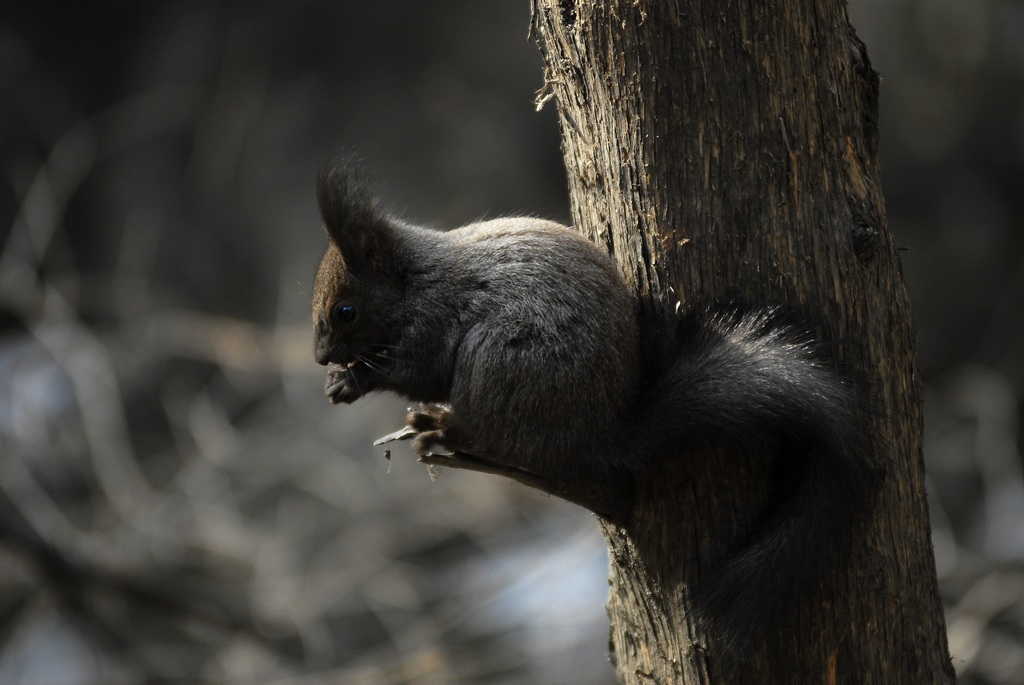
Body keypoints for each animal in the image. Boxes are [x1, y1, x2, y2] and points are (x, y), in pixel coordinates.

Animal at [309, 157, 880, 659]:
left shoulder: (433, 325)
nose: (319, 358)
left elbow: (416, 371)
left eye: (345, 311)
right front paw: (339, 379)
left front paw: (355, 380)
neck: (415, 281)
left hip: (500, 364)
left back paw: (442, 425)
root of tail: (605, 431)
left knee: (495, 436)